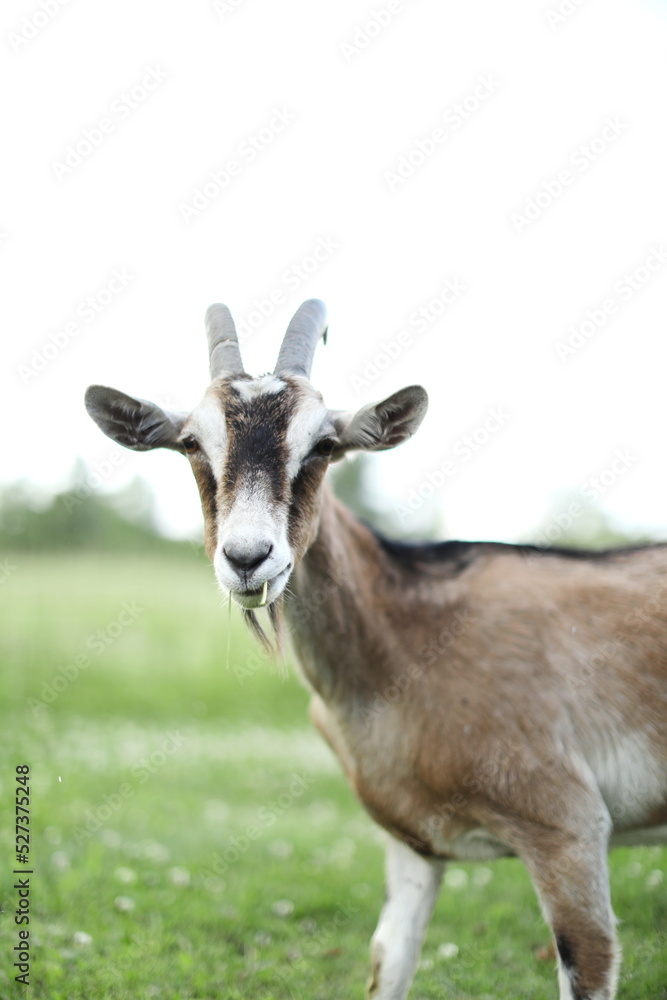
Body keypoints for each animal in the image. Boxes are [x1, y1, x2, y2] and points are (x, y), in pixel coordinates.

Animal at [86, 298, 667, 1000]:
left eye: (324, 444)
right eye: (193, 443)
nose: (249, 558)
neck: (406, 643)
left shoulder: (568, 827)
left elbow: (589, 955)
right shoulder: (411, 842)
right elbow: (387, 960)